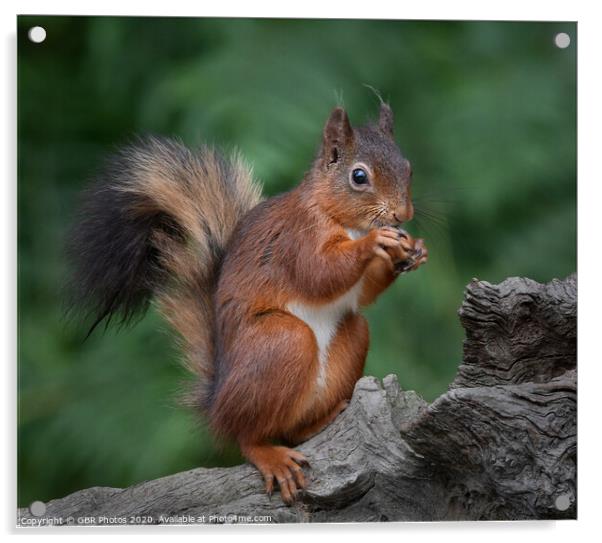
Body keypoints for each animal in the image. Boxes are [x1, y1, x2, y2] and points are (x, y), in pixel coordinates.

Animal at [68, 103, 426, 506]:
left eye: (409, 167)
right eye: (359, 176)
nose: (402, 215)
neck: (341, 218)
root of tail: (217, 406)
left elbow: (363, 294)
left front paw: (413, 250)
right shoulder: (295, 238)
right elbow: (319, 272)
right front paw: (376, 243)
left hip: (350, 337)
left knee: (297, 425)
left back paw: (326, 417)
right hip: (279, 341)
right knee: (247, 435)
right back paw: (268, 454)